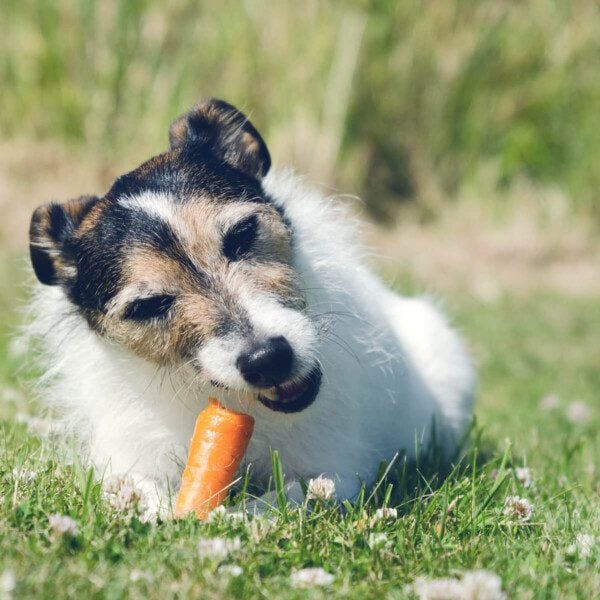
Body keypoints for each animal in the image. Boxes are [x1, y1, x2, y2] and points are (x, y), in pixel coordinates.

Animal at [28, 98, 476, 516]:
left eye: (242, 234)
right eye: (148, 306)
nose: (268, 359)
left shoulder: (336, 471)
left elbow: (288, 496)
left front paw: (236, 516)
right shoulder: (130, 458)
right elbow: (137, 488)